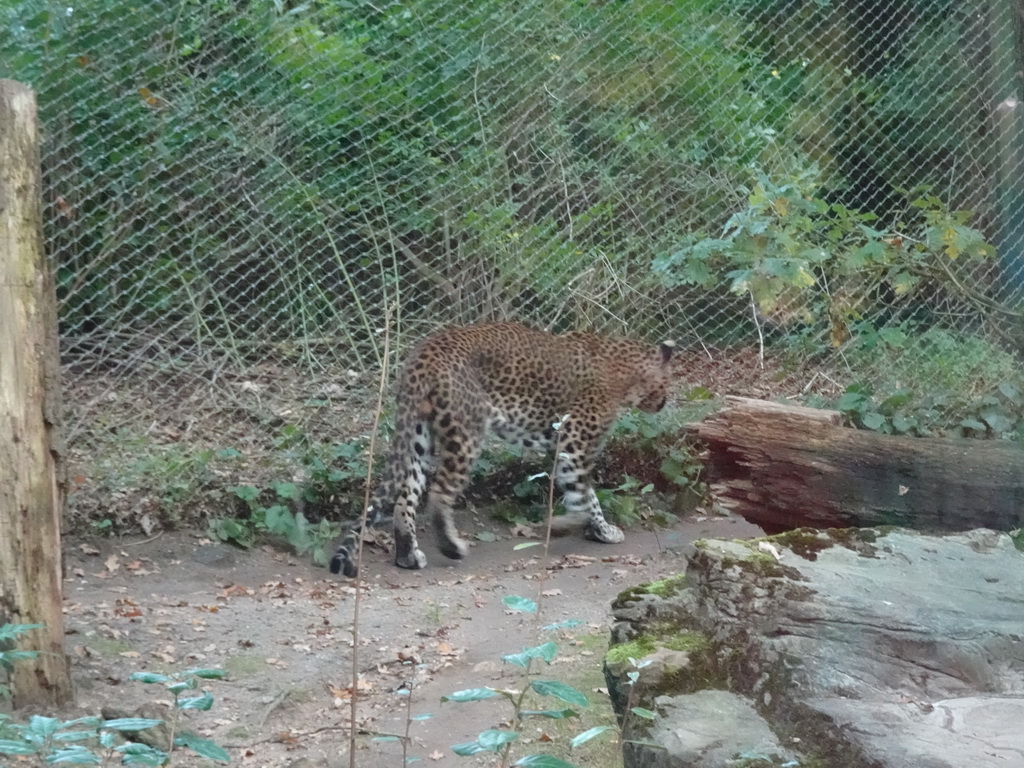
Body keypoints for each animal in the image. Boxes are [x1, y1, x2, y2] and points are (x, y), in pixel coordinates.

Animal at [327, 321, 675, 581]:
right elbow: (585, 493)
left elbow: (578, 490)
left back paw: (407, 557)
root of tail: (425, 352)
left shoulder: (563, 446)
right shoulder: (575, 440)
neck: (629, 371)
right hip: (466, 433)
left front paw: (587, 527)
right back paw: (451, 546)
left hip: (419, 436)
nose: (665, 402)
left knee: (405, 496)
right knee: (439, 493)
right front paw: (585, 528)